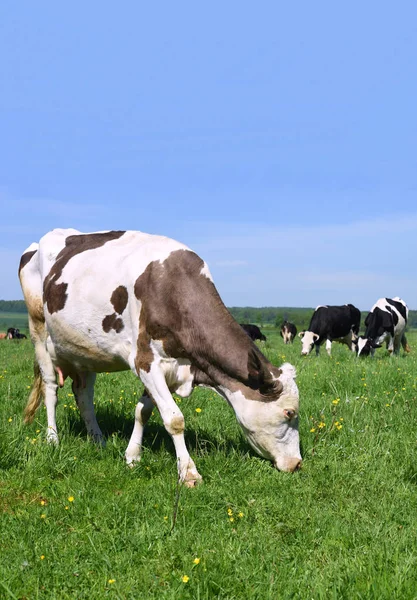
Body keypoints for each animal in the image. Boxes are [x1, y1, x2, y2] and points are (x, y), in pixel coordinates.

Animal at [17, 227, 300, 486]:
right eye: (289, 413)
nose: (297, 464)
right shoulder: (145, 361)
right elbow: (174, 419)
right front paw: (188, 473)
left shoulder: (172, 368)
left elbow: (143, 411)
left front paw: (132, 456)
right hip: (38, 329)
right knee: (51, 389)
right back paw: (52, 439)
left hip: (84, 350)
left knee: (84, 395)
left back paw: (98, 440)